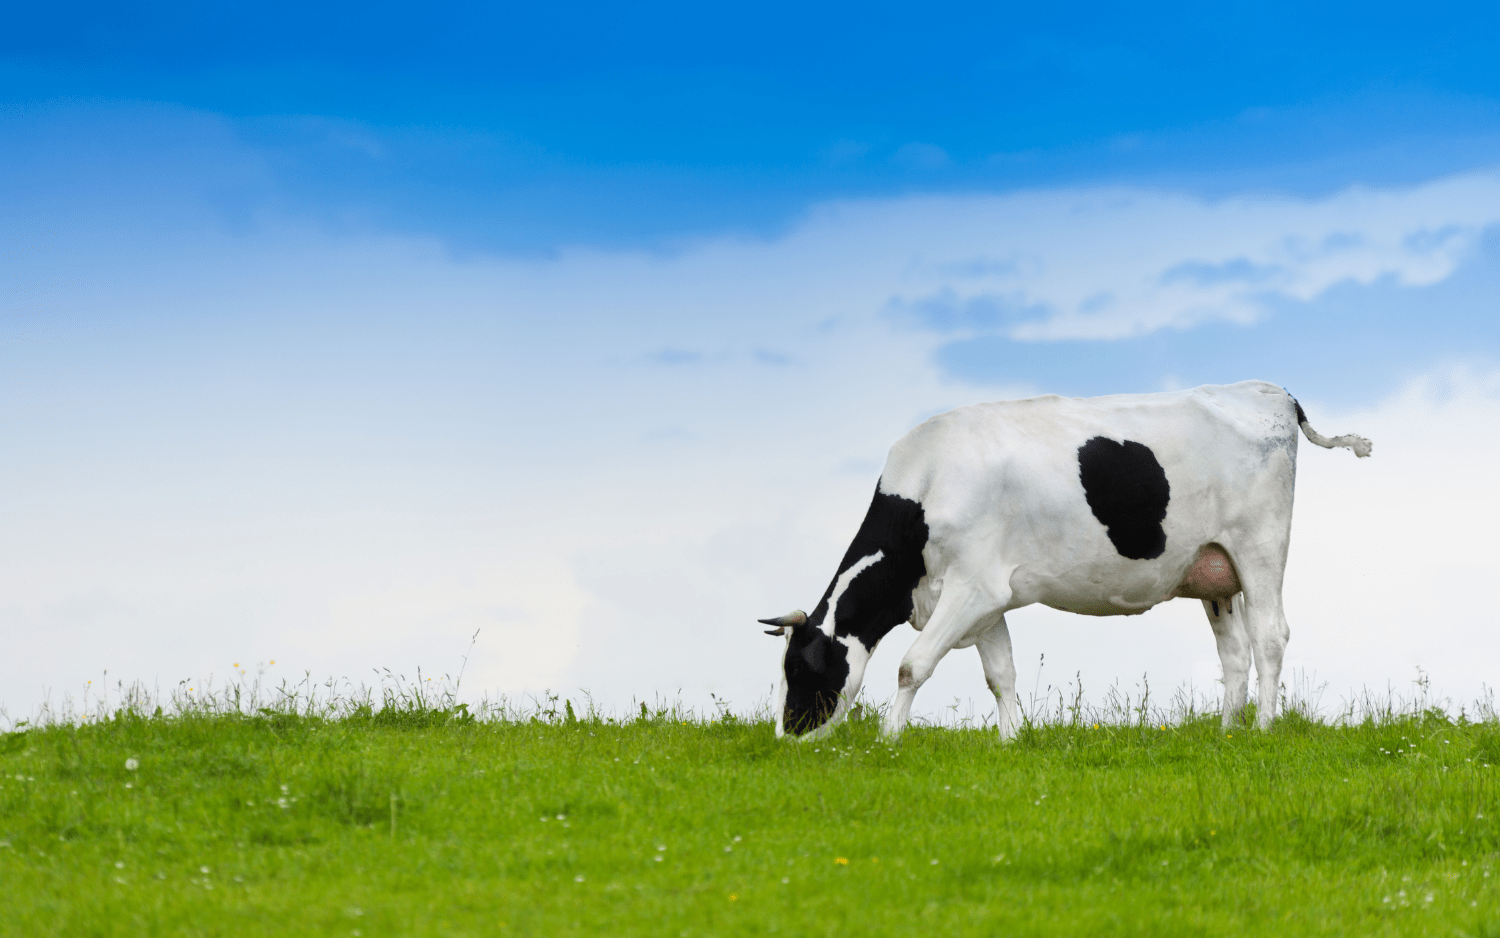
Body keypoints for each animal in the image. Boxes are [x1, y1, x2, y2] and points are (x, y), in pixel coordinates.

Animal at [762, 381, 1374, 738]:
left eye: (800, 669)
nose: (787, 738)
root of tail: (1270, 390)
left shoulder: (973, 587)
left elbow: (913, 665)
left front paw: (889, 740)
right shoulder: (988, 597)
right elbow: (1001, 673)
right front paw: (1011, 740)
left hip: (1260, 548)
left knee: (1270, 635)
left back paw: (1264, 728)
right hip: (1214, 571)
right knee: (1235, 652)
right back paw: (1227, 732)